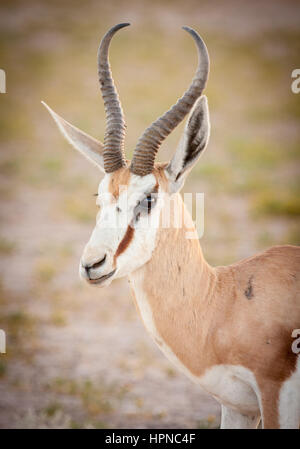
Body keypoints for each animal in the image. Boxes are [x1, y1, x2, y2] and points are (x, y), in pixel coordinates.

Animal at [42, 23, 300, 428]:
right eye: (100, 194)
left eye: (148, 198)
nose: (92, 264)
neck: (225, 302)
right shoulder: (239, 407)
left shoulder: (272, 396)